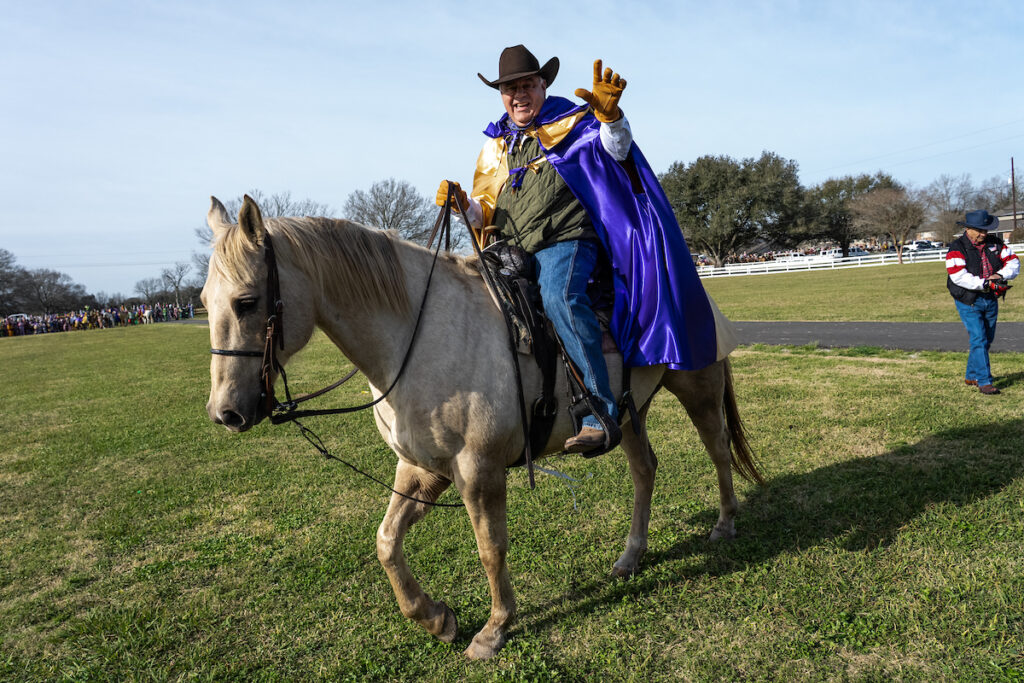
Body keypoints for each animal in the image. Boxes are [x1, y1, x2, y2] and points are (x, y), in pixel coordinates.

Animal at [201, 196, 761, 663]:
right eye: (204, 303)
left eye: (247, 301)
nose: (225, 413)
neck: (416, 336)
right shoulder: (421, 468)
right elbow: (386, 541)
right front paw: (436, 619)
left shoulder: (478, 469)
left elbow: (490, 548)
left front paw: (494, 630)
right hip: (627, 413)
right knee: (645, 470)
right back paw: (630, 556)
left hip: (698, 389)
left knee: (718, 452)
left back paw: (725, 524)